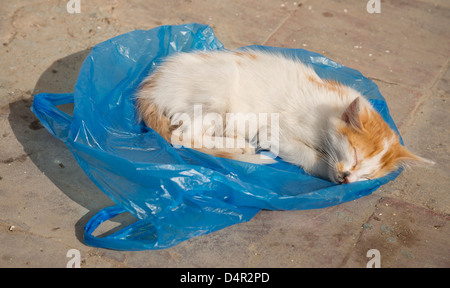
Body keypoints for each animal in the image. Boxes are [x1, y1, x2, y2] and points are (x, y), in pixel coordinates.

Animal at [135, 49, 434, 184]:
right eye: (355, 154)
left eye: (369, 176)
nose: (347, 177)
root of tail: (151, 85)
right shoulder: (274, 132)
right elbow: (307, 155)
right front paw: (325, 169)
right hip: (217, 86)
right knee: (183, 137)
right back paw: (238, 147)